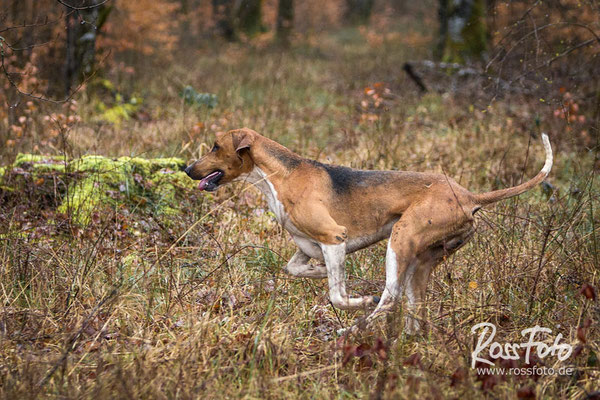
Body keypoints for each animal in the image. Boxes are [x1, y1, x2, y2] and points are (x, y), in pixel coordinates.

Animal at [184, 129, 552, 334]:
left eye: (215, 146)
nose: (187, 169)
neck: (279, 175)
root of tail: (469, 196)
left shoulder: (334, 238)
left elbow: (337, 295)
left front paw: (355, 299)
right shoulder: (308, 247)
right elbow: (297, 269)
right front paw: (321, 273)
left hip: (400, 241)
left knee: (389, 298)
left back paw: (353, 329)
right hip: (421, 262)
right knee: (414, 307)